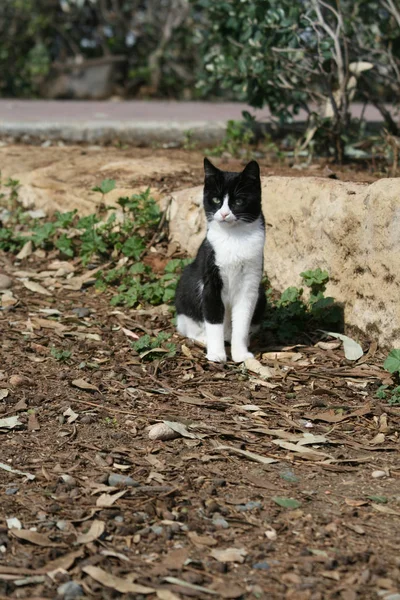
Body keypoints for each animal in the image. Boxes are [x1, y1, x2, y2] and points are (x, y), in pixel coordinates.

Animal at [176, 158, 266, 360]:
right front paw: (216, 354)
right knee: (188, 326)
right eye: (216, 200)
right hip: (186, 285)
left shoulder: (250, 282)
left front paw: (240, 354)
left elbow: (242, 322)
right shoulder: (211, 282)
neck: (234, 238)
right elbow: (213, 318)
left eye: (239, 201)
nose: (224, 214)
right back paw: (204, 339)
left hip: (262, 293)